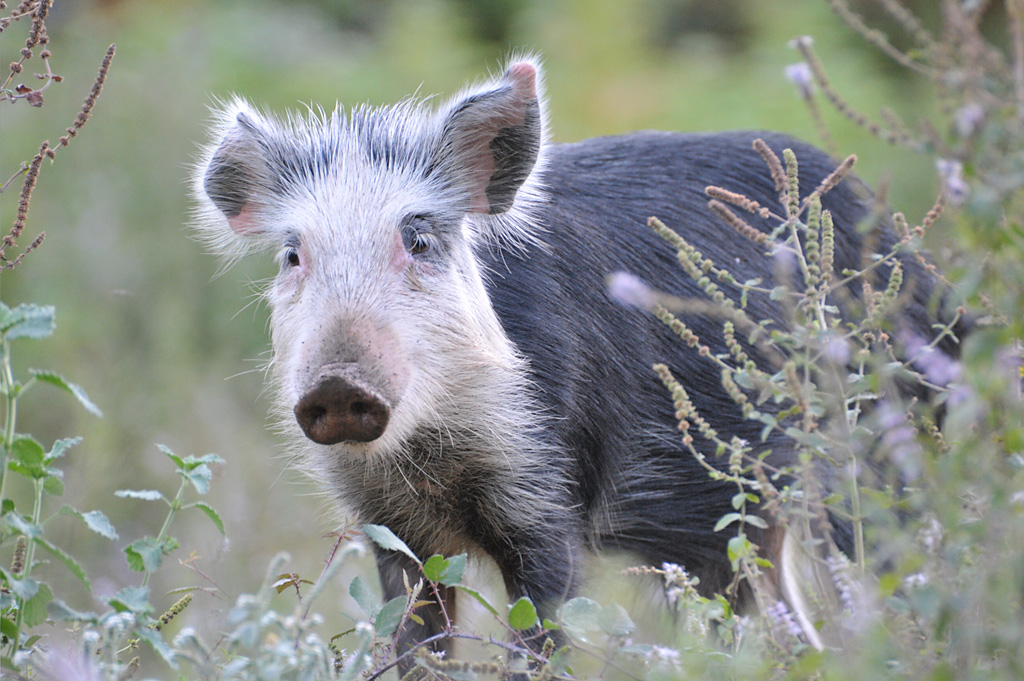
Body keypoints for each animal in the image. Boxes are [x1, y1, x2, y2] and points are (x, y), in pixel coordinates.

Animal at [193, 57, 941, 662]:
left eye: (420, 240)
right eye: (293, 254)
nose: (339, 384)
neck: (434, 458)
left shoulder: (547, 487)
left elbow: (542, 629)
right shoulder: (387, 522)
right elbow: (415, 638)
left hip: (872, 450)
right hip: (732, 527)